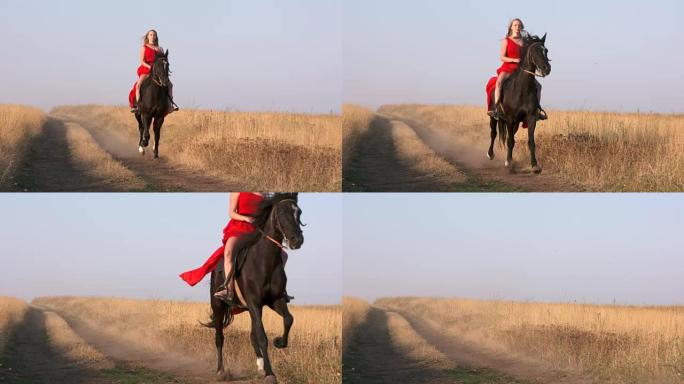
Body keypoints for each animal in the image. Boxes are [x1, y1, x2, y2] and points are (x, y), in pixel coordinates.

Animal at [203, 194, 304, 382]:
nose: (297, 240)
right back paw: (221, 371)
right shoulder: (254, 302)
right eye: (281, 213)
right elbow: (262, 337)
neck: (265, 261)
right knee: (219, 337)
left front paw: (279, 342)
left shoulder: (275, 300)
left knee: (252, 335)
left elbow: (288, 319)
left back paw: (260, 367)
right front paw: (270, 374)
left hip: (249, 309)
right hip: (219, 305)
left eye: (299, 212)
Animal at [486, 33, 552, 173]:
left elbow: (531, 142)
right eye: (535, 51)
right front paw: (509, 163)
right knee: (493, 133)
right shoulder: (510, 118)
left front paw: (534, 165)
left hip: (515, 123)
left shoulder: (530, 118)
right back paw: (490, 154)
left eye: (546, 50)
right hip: (494, 117)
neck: (522, 89)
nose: (547, 69)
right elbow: (510, 141)